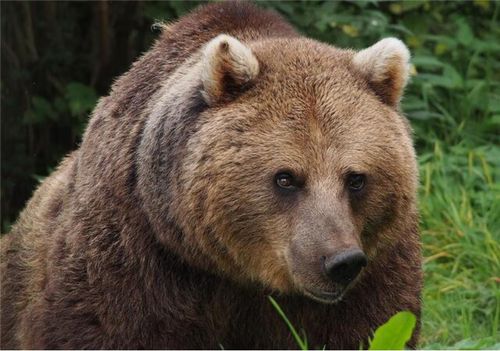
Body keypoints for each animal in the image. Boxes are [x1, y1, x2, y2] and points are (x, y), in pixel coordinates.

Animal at [0, 2, 422, 350]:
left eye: (356, 178)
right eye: (286, 177)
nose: (339, 262)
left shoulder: (377, 264)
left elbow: (371, 325)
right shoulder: (134, 253)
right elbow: (99, 326)